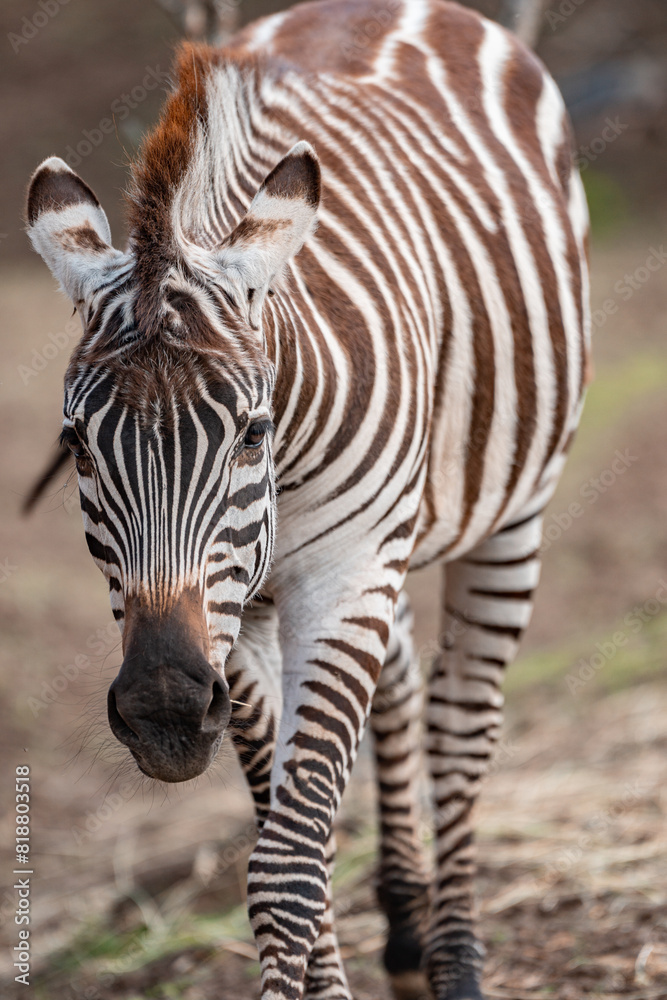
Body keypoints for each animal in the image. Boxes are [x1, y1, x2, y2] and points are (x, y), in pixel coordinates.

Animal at [25, 0, 590, 997]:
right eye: (76, 447)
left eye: (251, 432)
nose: (164, 710)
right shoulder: (236, 610)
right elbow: (287, 827)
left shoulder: (344, 569)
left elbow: (288, 861)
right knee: (403, 681)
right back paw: (404, 930)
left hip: (510, 514)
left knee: (461, 720)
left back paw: (455, 960)